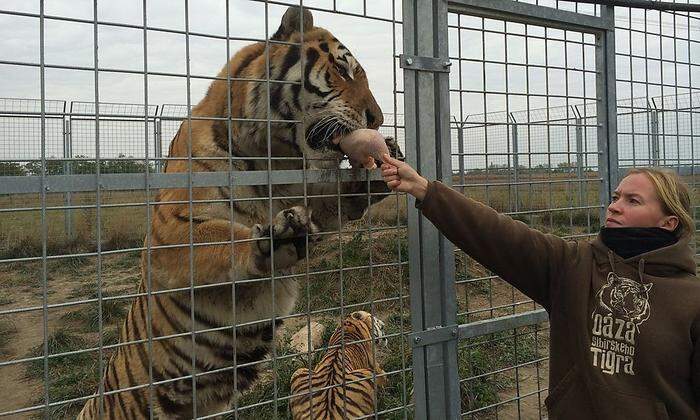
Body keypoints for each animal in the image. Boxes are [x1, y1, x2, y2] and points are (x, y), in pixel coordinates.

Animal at [77, 6, 402, 420]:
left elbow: (334, 200)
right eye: (343, 70)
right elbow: (222, 240)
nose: (377, 119)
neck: (274, 154)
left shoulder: (311, 195)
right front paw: (276, 240)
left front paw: (375, 173)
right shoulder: (170, 235)